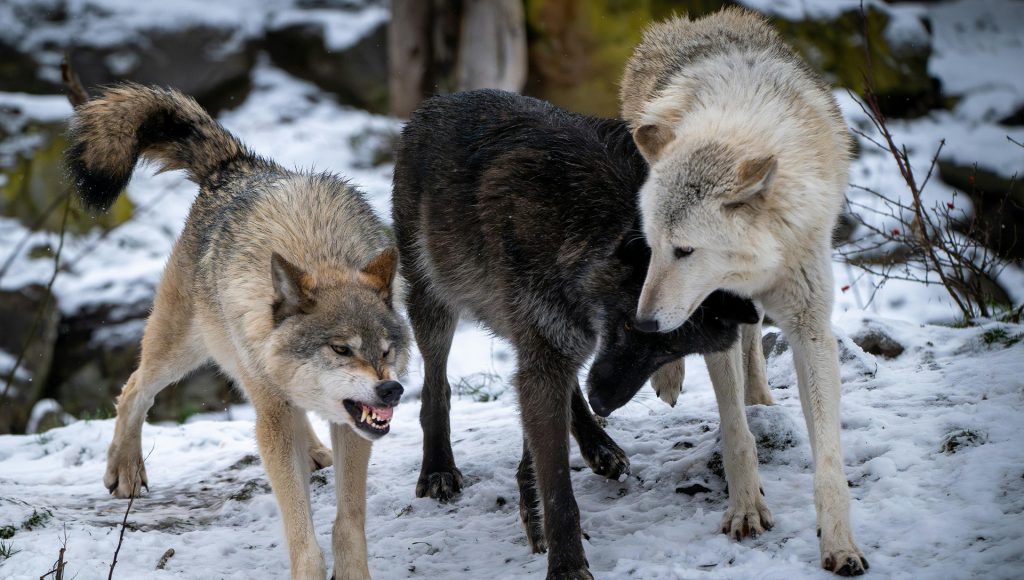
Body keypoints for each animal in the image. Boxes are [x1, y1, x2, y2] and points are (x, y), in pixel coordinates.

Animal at [65, 84, 409, 579]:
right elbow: (300, 528)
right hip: (185, 349)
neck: (320, 254)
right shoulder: (276, 413)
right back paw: (125, 470)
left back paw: (314, 452)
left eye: (385, 351)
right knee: (133, 389)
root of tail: (235, 165)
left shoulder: (352, 424)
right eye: (341, 349)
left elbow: (349, 521)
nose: (391, 390)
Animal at [392, 88, 758, 579]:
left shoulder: (556, 346)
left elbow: (542, 450)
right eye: (632, 324)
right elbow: (557, 485)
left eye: (670, 351)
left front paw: (536, 512)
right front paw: (564, 562)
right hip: (434, 301)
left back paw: (598, 443)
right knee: (436, 384)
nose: (606, 402)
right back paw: (438, 469)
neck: (583, 222)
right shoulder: (545, 352)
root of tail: (440, 100)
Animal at [620, 8, 868, 576]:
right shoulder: (715, 318)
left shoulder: (811, 326)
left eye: (685, 250)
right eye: (655, 247)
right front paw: (746, 509)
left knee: (756, 347)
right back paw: (670, 375)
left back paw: (761, 396)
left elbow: (828, 457)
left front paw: (840, 543)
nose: (641, 323)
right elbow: (735, 434)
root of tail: (695, 20)